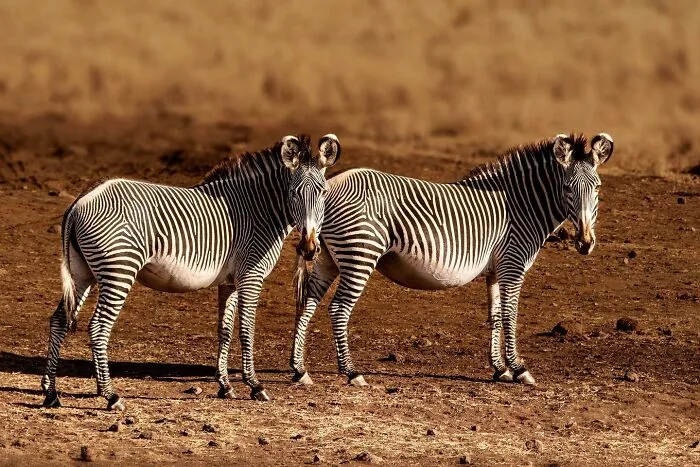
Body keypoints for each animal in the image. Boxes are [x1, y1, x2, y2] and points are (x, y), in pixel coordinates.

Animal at [40, 134, 341, 410]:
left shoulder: (230, 282)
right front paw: (255, 386)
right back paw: (111, 395)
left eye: (323, 193)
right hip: (119, 270)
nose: (309, 248)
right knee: (98, 327)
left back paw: (50, 392)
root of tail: (80, 201)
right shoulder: (251, 275)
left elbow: (225, 329)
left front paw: (225, 386)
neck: (259, 211)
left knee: (59, 320)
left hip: (83, 273)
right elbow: (246, 329)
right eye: (293, 193)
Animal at [287, 133, 613, 387]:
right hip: (360, 254)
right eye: (568, 188)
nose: (585, 243)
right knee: (338, 309)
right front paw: (519, 369)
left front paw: (500, 369)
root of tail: (329, 186)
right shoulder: (513, 264)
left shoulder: (495, 271)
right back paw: (351, 372)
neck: (523, 206)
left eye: (597, 188)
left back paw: (299, 369)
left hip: (328, 257)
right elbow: (510, 315)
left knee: (308, 303)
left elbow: (495, 316)